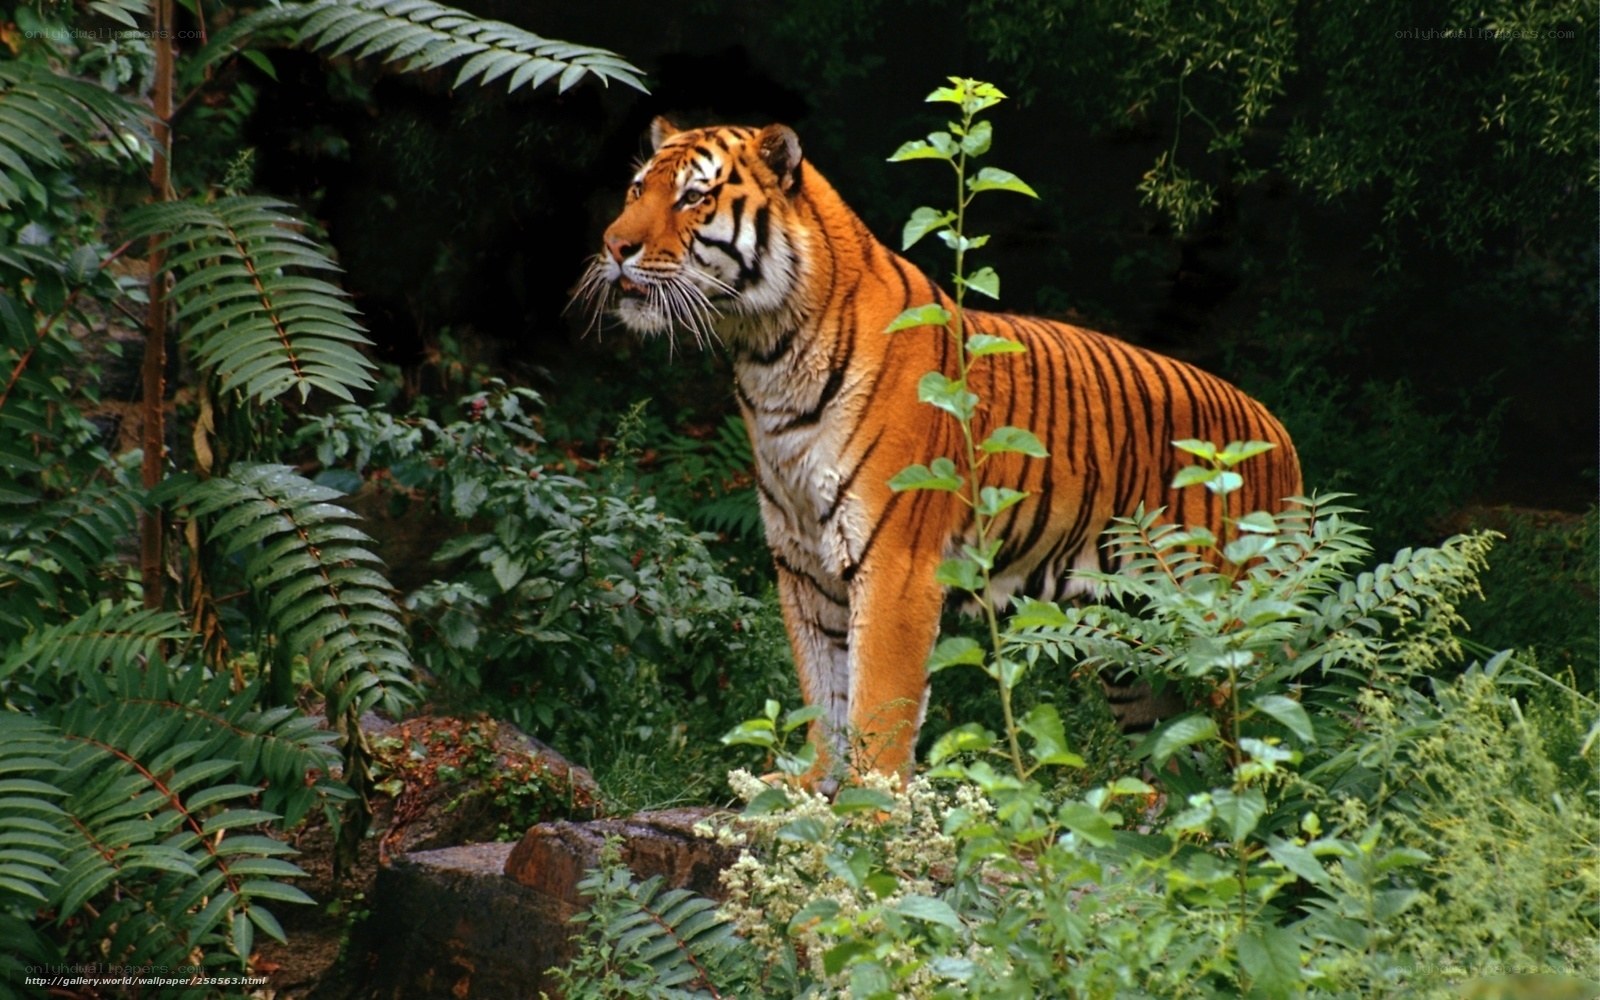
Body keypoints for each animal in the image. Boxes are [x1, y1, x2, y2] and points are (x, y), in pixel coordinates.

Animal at [576, 118, 1302, 791]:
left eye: (694, 197)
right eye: (637, 190)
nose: (612, 245)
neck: (768, 355)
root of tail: (1279, 433)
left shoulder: (896, 562)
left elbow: (878, 702)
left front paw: (873, 810)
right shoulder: (803, 567)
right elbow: (823, 691)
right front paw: (813, 789)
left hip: (1226, 629)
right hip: (1134, 646)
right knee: (1178, 755)